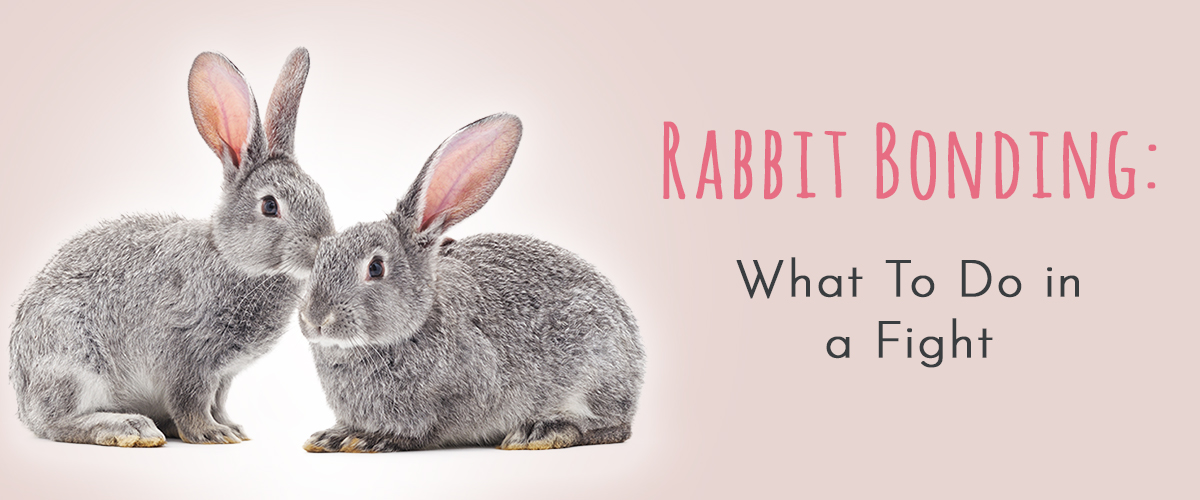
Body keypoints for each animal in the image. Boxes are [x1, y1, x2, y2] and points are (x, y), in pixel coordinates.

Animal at [8, 47, 335, 447]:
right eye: (270, 206)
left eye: (318, 192)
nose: (323, 243)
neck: (230, 258)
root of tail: (22, 397)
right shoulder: (188, 357)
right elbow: (192, 400)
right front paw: (212, 433)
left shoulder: (224, 375)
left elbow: (217, 400)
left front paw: (232, 428)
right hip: (73, 362)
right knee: (58, 421)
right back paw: (129, 427)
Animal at [299, 113, 645, 452]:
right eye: (318, 259)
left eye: (375, 268)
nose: (315, 319)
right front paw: (333, 436)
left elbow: (423, 431)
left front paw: (369, 439)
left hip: (596, 368)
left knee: (610, 427)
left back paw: (542, 431)